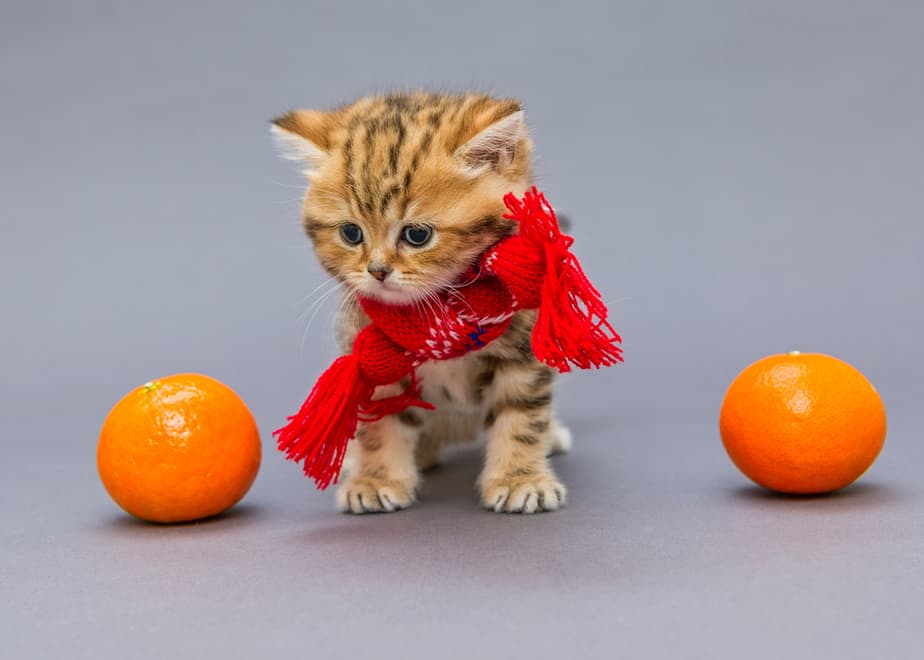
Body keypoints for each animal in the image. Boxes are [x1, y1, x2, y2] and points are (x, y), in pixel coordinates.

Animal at [270, 94, 572, 516]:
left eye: (417, 235)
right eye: (351, 233)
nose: (377, 271)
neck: (437, 311)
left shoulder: (523, 350)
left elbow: (521, 417)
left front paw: (520, 479)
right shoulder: (372, 359)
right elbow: (380, 424)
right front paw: (376, 478)